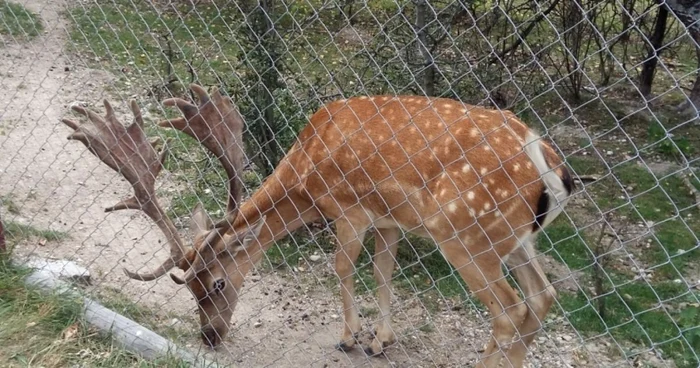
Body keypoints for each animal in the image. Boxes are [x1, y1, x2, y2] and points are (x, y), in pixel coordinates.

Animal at [63, 84, 572, 368]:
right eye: (189, 290)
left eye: (218, 282)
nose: (209, 336)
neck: (306, 176)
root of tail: (551, 165)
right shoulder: (389, 219)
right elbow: (383, 273)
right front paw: (381, 341)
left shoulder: (349, 208)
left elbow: (342, 267)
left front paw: (349, 338)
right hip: (516, 239)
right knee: (542, 295)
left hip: (466, 232)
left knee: (510, 309)